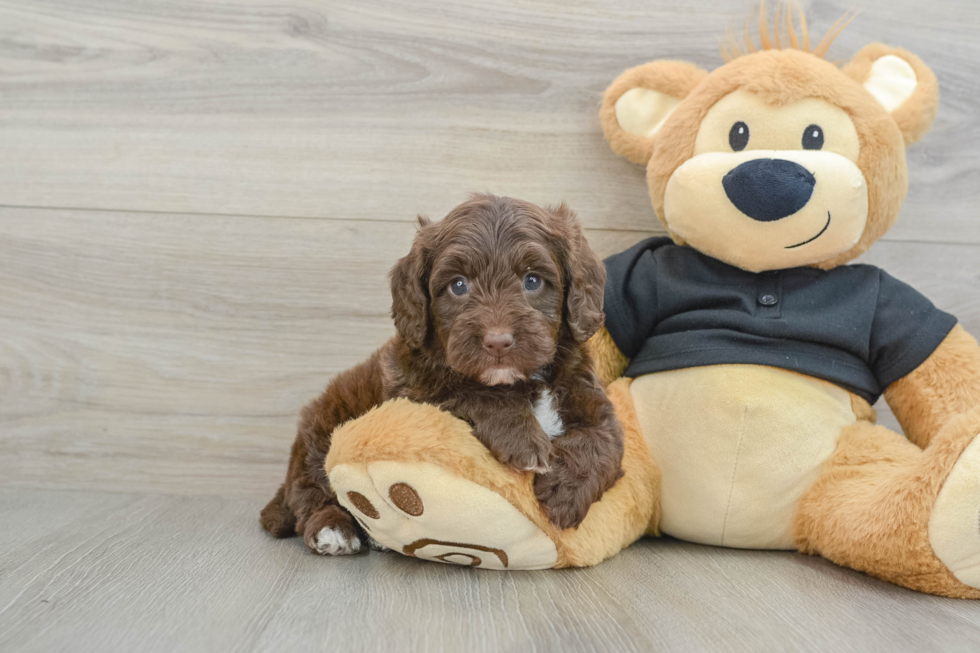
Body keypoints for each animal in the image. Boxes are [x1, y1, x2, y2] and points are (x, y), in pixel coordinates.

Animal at [260, 194, 624, 556]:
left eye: (532, 280)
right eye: (458, 285)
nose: (498, 341)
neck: (519, 379)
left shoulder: (586, 390)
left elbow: (606, 440)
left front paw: (566, 494)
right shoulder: (415, 390)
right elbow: (472, 393)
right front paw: (524, 441)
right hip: (322, 429)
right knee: (311, 492)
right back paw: (332, 529)